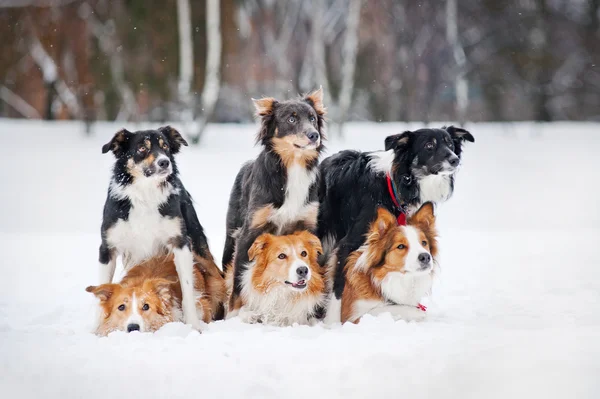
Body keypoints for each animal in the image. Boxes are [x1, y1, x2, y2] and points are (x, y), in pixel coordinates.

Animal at [99, 126, 217, 330]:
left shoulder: (180, 243)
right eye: (141, 148)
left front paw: (193, 326)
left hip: (198, 244)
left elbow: (187, 288)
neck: (146, 195)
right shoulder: (107, 248)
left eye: (165, 147)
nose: (164, 162)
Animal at [223, 88, 326, 316]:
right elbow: (238, 281)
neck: (293, 164)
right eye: (291, 119)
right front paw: (234, 315)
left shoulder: (308, 225)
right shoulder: (250, 231)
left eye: (312, 119)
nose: (313, 135)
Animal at [316, 126, 476, 302]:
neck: (395, 185)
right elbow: (340, 286)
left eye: (450, 144)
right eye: (429, 145)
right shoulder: (349, 243)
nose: (455, 160)